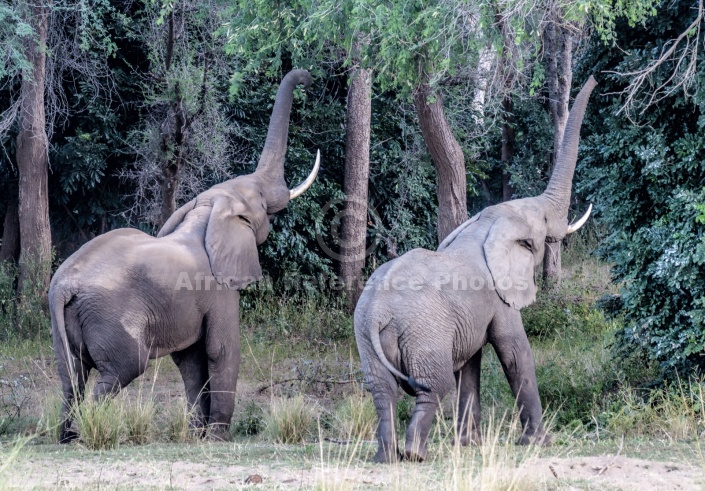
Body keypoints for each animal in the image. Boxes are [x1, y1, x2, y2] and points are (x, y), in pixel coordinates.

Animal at [46, 68, 316, 442]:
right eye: (261, 201)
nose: (308, 81)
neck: (208, 212)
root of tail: (63, 286)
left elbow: (191, 361)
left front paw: (199, 435)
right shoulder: (219, 289)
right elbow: (221, 350)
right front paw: (218, 438)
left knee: (71, 377)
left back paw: (68, 438)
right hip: (111, 317)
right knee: (119, 371)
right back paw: (90, 435)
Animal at [354, 76, 596, 462]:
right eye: (542, 225)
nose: (596, 79)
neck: (487, 223)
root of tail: (377, 311)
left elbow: (472, 364)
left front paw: (470, 445)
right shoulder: (500, 296)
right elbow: (514, 353)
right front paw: (538, 443)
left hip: (366, 335)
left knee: (383, 392)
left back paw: (387, 458)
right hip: (424, 335)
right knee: (433, 387)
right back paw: (415, 455)